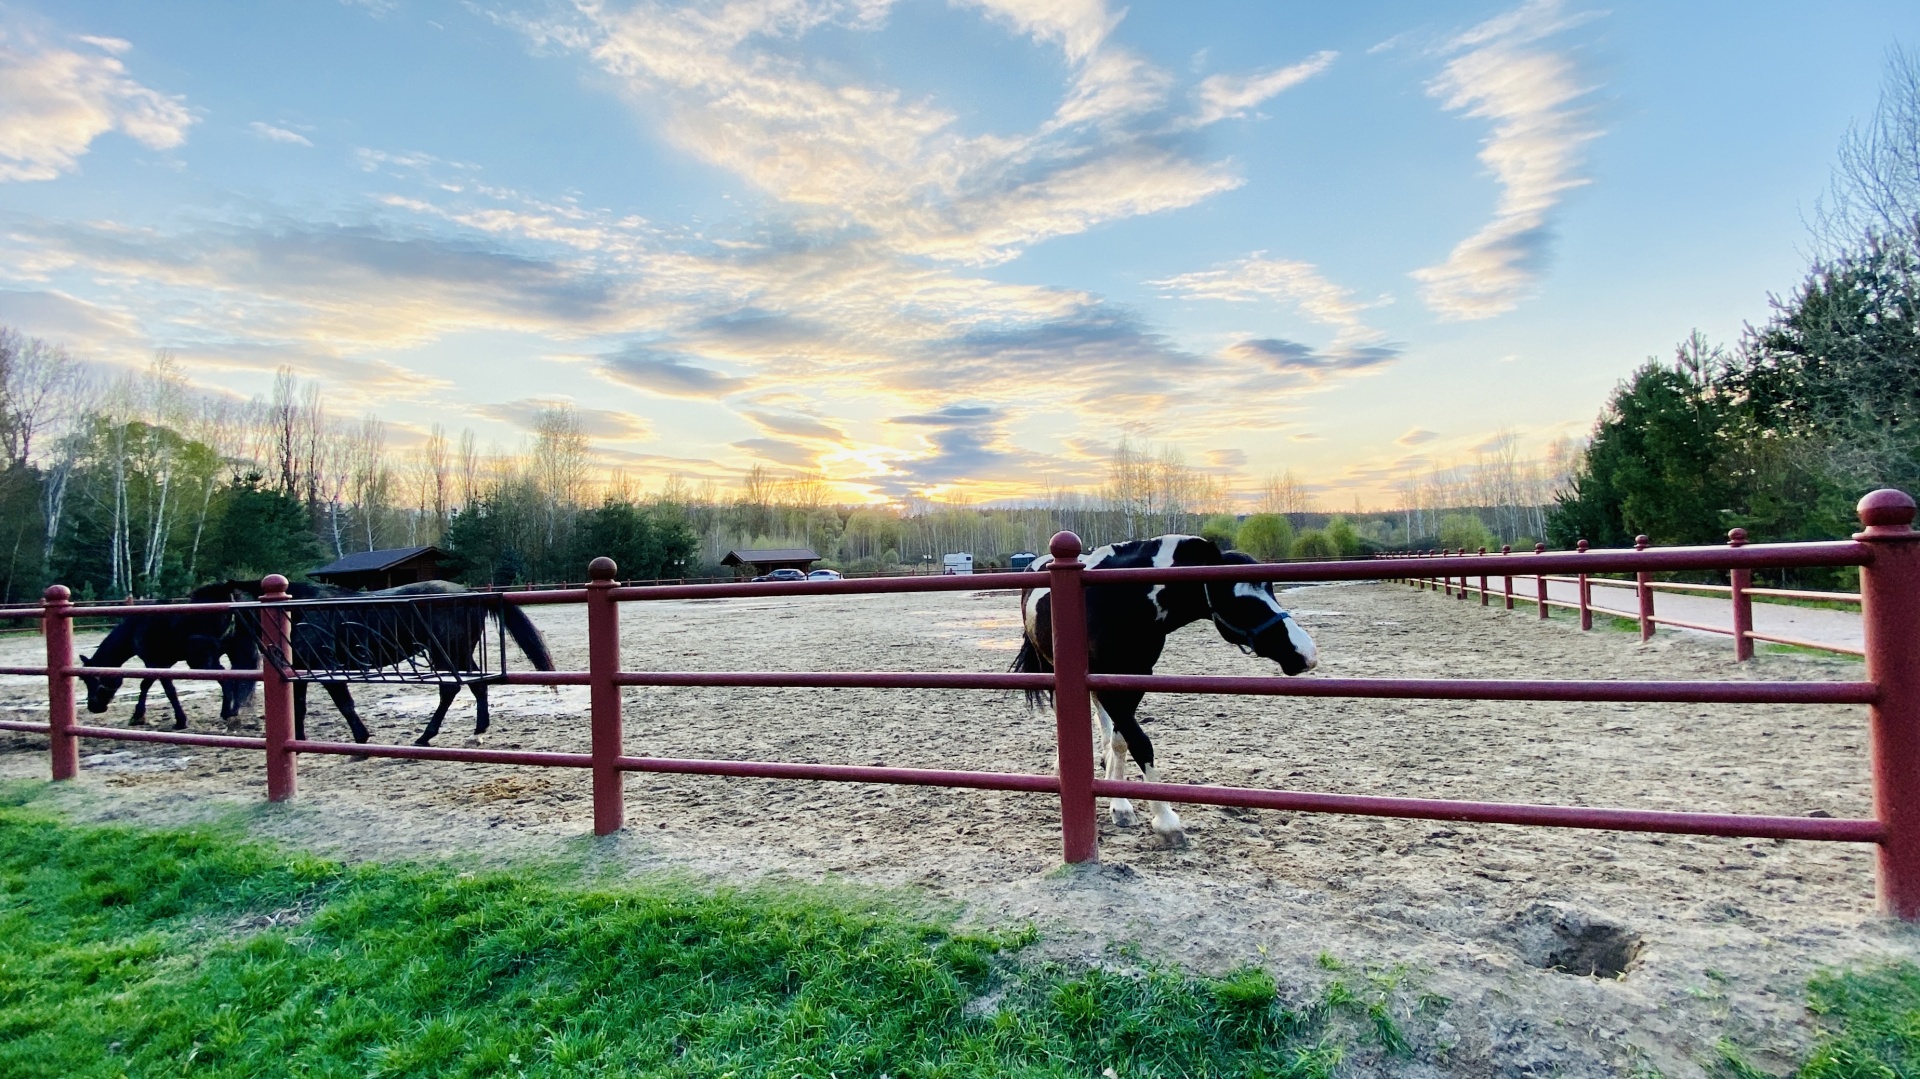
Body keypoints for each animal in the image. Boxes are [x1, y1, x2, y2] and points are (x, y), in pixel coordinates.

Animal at [76, 583, 259, 725]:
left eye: (89, 679)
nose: (93, 707)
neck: (135, 627)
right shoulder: (159, 663)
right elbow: (146, 685)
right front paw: (138, 716)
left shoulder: (155, 663)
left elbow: (167, 689)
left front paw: (180, 721)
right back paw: (233, 711)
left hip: (201, 660)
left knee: (226, 679)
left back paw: (227, 713)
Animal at [234, 575, 549, 744]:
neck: (295, 611)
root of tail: (469, 594)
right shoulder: (302, 670)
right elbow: (297, 706)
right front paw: (299, 739)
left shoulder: (328, 668)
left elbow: (344, 703)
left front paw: (362, 737)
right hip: (457, 654)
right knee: (476, 684)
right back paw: (477, 729)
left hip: (446, 654)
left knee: (450, 689)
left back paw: (425, 736)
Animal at [1013, 533, 1313, 844]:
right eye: (1240, 600)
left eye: (1271, 591)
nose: (1305, 653)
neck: (1121, 601)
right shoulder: (1115, 687)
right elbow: (1139, 743)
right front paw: (1164, 820)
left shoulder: (1133, 679)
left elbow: (1121, 741)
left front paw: (1118, 798)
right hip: (1049, 666)